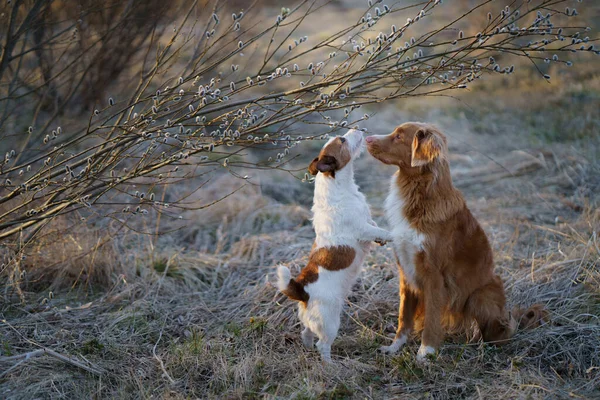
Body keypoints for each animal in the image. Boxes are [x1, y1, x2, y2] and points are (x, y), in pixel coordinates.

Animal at [276, 130, 394, 364]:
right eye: (342, 140)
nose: (358, 128)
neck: (339, 187)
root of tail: (302, 291)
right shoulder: (362, 229)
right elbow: (381, 230)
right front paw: (395, 236)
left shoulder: (368, 221)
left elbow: (376, 226)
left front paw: (382, 240)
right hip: (330, 322)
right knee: (323, 345)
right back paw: (331, 365)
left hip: (310, 322)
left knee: (306, 332)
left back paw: (307, 348)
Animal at [366, 122, 544, 362]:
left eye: (399, 136)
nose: (366, 139)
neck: (418, 193)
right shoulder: (406, 270)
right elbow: (404, 317)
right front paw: (394, 347)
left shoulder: (433, 276)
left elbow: (431, 320)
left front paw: (425, 353)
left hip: (480, 296)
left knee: (497, 332)